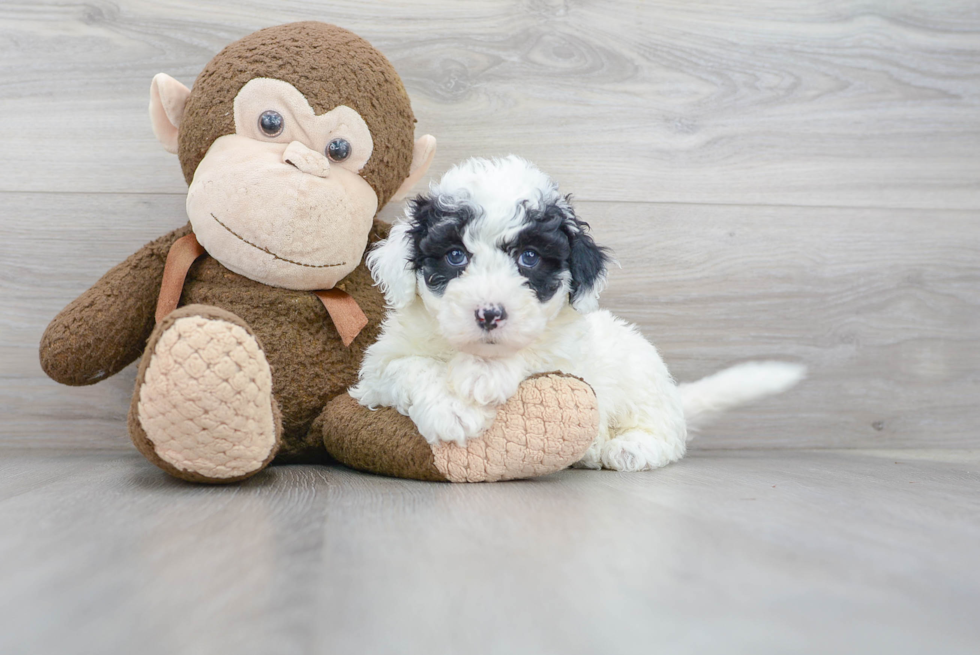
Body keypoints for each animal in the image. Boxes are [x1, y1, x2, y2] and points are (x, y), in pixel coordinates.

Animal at [352, 156, 804, 468]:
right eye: (455, 256)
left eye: (530, 258)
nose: (490, 314)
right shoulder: (375, 372)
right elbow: (409, 367)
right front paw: (452, 408)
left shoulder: (568, 356)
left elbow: (538, 350)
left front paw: (483, 374)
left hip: (643, 382)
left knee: (666, 435)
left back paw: (628, 447)